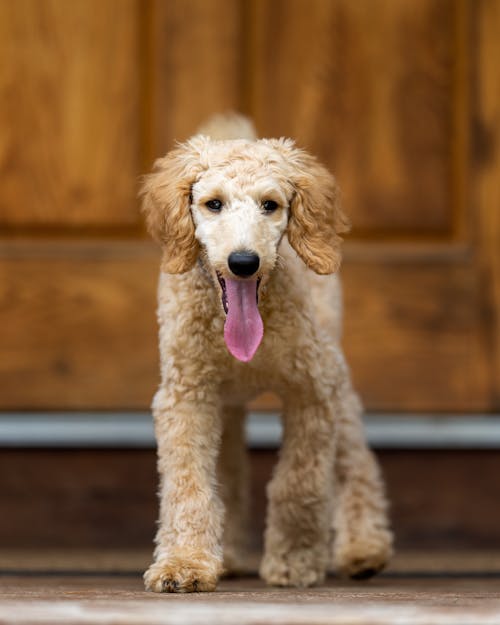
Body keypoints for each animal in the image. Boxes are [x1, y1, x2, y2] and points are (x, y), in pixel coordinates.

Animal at [140, 114, 390, 592]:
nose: (243, 262)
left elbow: (300, 480)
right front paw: (186, 563)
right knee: (230, 472)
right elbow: (188, 483)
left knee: (354, 457)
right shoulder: (186, 395)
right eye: (213, 204)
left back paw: (364, 547)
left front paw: (294, 560)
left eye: (270, 205)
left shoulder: (313, 387)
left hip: (335, 366)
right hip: (227, 405)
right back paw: (231, 556)